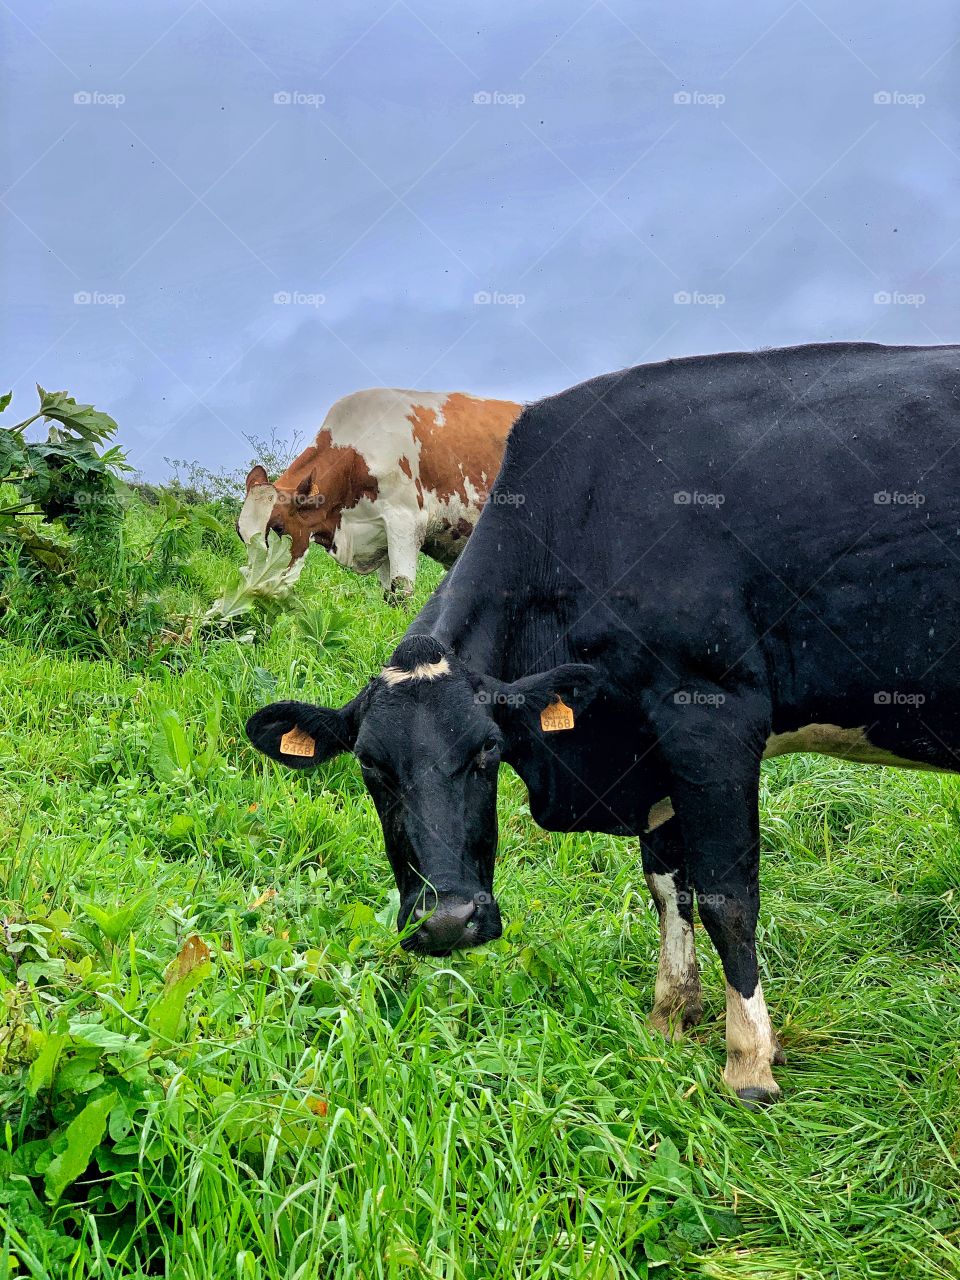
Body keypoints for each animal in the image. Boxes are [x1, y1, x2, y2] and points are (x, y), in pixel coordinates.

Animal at [238, 388, 520, 601]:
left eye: (278, 528)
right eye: (241, 535)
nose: (256, 587)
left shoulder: (404, 521)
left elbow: (401, 591)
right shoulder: (379, 533)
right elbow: (388, 594)